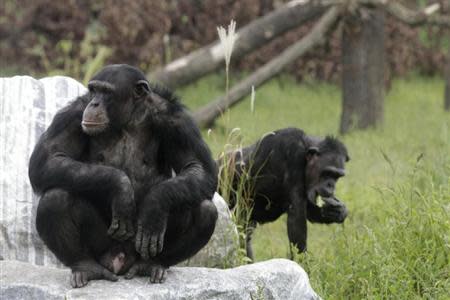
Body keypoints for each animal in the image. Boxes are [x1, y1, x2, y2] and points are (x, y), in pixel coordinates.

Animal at [28, 64, 218, 288]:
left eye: (106, 92)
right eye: (93, 90)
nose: (94, 103)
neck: (128, 119)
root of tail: (120, 261)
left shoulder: (178, 121)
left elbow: (198, 168)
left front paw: (155, 204)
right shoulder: (73, 115)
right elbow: (48, 159)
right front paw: (121, 187)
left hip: (139, 251)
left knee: (205, 209)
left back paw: (152, 264)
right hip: (102, 249)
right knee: (54, 198)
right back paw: (85, 267)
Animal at [220, 127, 350, 262]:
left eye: (336, 176)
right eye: (327, 173)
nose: (331, 185)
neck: (306, 152)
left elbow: (307, 210)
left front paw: (338, 211)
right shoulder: (293, 155)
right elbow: (296, 216)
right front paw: (301, 262)